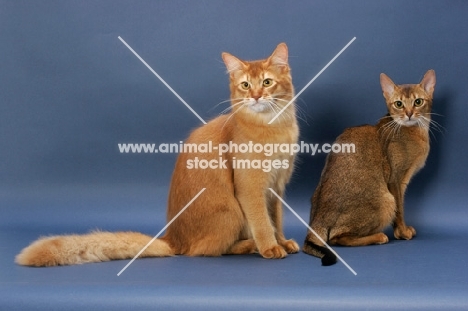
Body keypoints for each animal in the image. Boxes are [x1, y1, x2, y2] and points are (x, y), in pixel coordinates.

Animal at [16, 43, 300, 268]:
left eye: (267, 82)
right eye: (245, 85)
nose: (256, 97)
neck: (274, 128)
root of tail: (173, 238)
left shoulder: (277, 185)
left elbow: (276, 218)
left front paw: (283, 241)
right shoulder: (250, 187)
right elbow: (263, 222)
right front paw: (270, 247)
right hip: (229, 210)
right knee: (205, 251)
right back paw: (249, 245)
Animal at [304, 70, 436, 266]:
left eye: (418, 102)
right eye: (399, 104)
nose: (409, 114)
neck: (415, 131)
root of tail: (316, 221)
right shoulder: (396, 180)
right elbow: (400, 210)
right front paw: (402, 233)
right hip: (386, 201)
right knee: (336, 238)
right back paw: (379, 237)